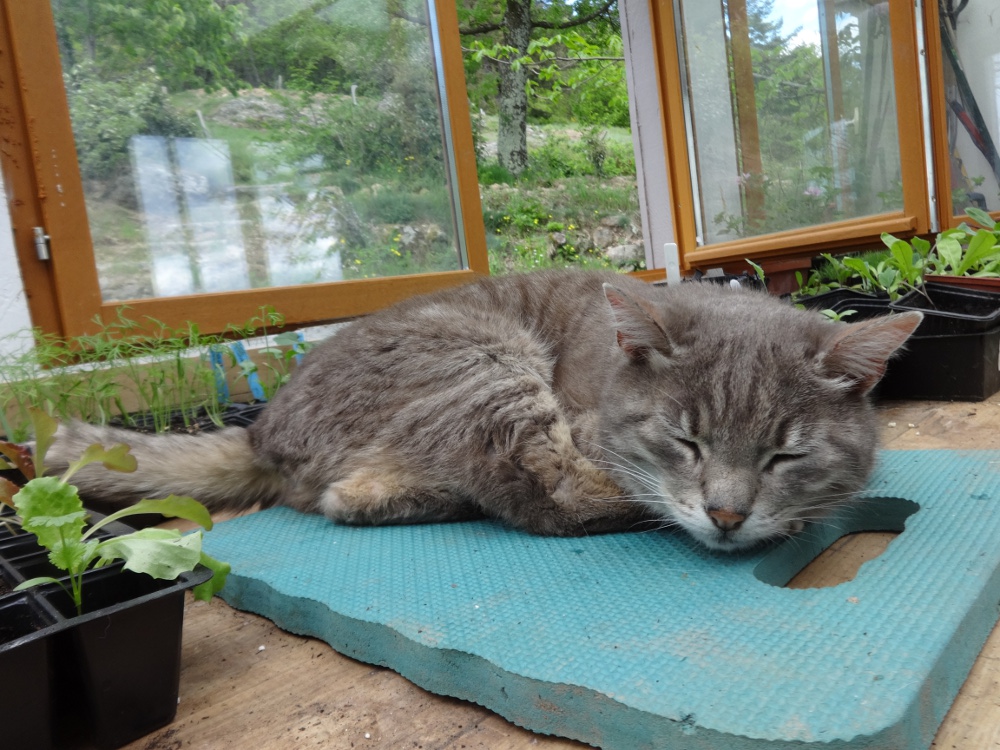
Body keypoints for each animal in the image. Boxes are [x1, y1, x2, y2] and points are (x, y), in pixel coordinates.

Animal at [47, 272, 920, 552]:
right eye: (686, 440)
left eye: (785, 454)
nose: (727, 516)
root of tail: (262, 429)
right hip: (489, 360)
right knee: (543, 492)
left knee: (350, 497)